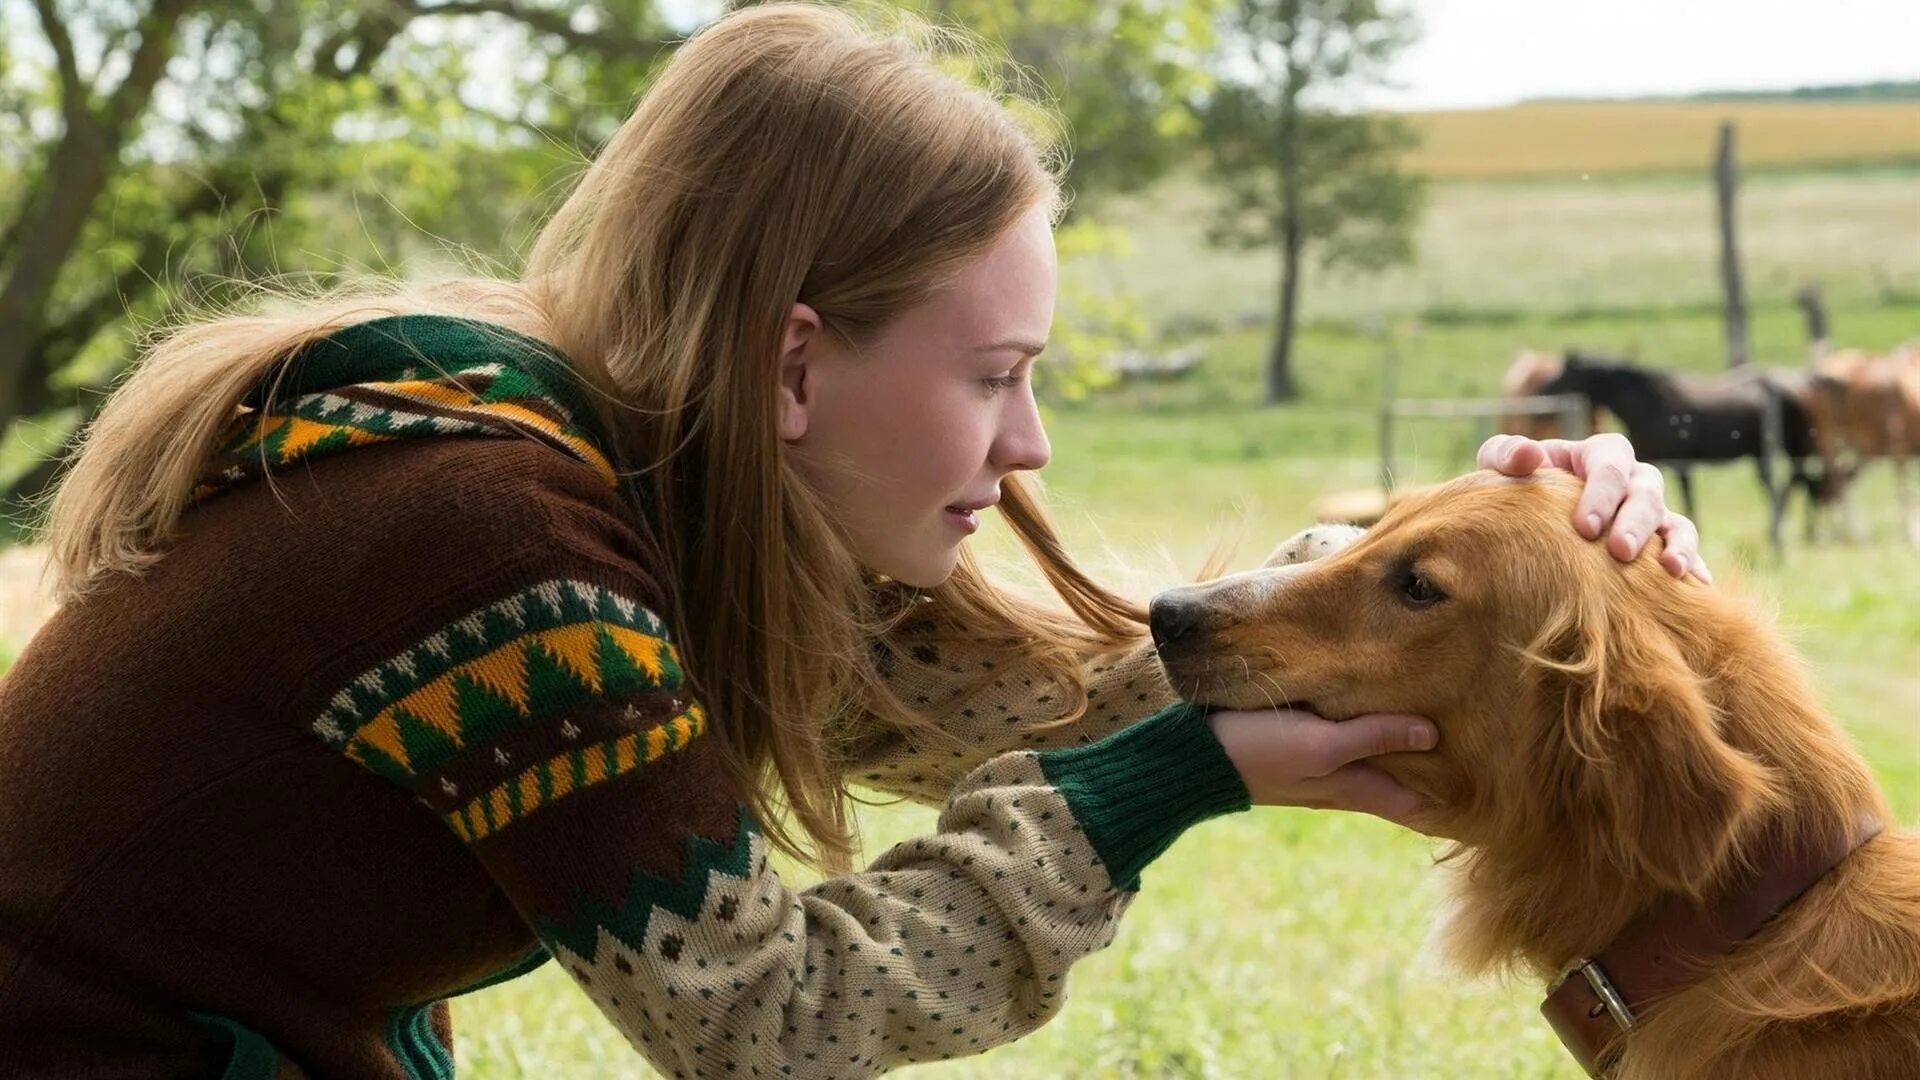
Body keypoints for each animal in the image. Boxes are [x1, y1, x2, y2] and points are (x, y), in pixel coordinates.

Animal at [1528, 349, 1827, 541]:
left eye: (1565, 374)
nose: (1539, 395)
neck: (1647, 404)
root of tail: (1798, 386)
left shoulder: (1679, 464)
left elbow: (1688, 499)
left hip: (1789, 448)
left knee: (1798, 480)